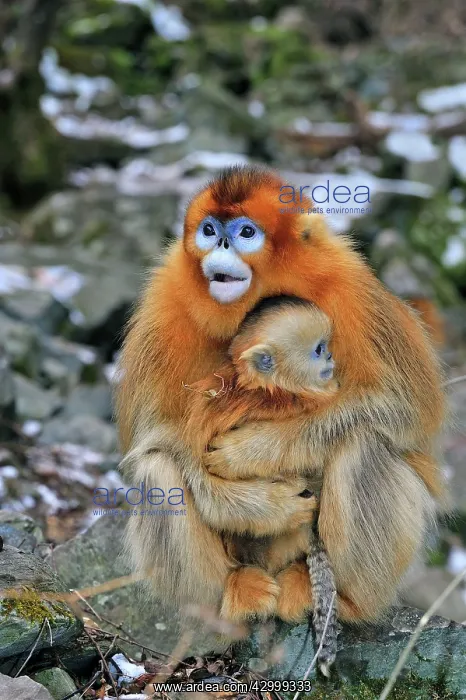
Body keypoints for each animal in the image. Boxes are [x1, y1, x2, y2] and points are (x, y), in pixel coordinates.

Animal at [116, 165, 446, 628]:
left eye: (246, 232)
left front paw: (249, 451)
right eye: (209, 229)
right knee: (158, 470)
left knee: (363, 442)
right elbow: (155, 439)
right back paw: (223, 603)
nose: (220, 243)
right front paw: (262, 507)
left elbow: (401, 408)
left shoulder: (351, 291)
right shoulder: (165, 302)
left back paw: (338, 598)